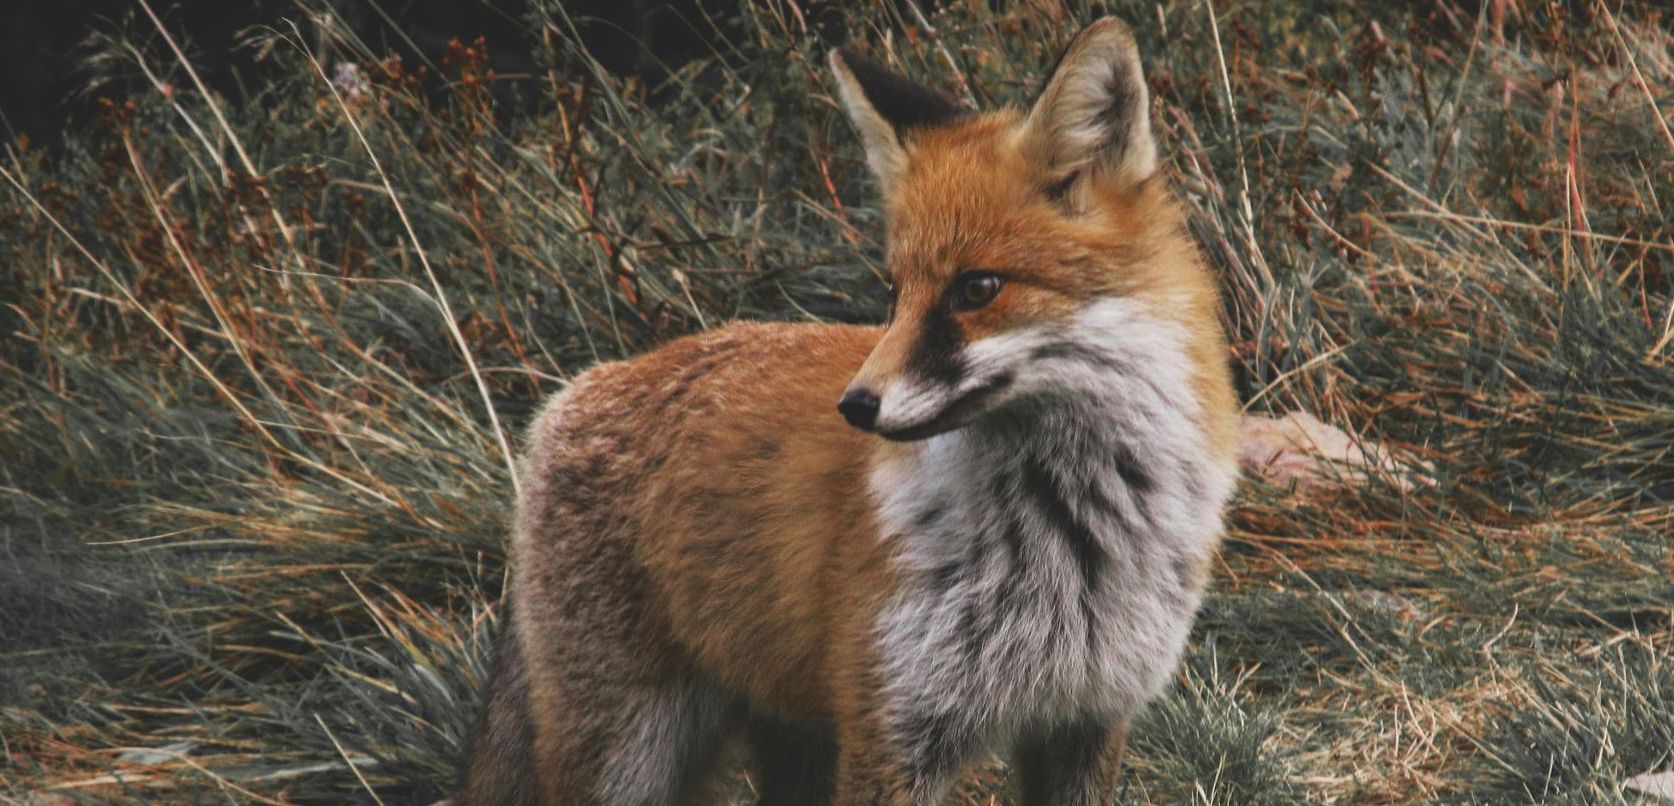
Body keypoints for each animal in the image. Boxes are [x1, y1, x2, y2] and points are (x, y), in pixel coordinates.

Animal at [461, 17, 1240, 806]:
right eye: (894, 292)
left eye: (976, 289)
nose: (856, 405)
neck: (1065, 538)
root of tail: (578, 389)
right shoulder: (893, 730)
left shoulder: (1085, 720)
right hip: (628, 757)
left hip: (791, 739)